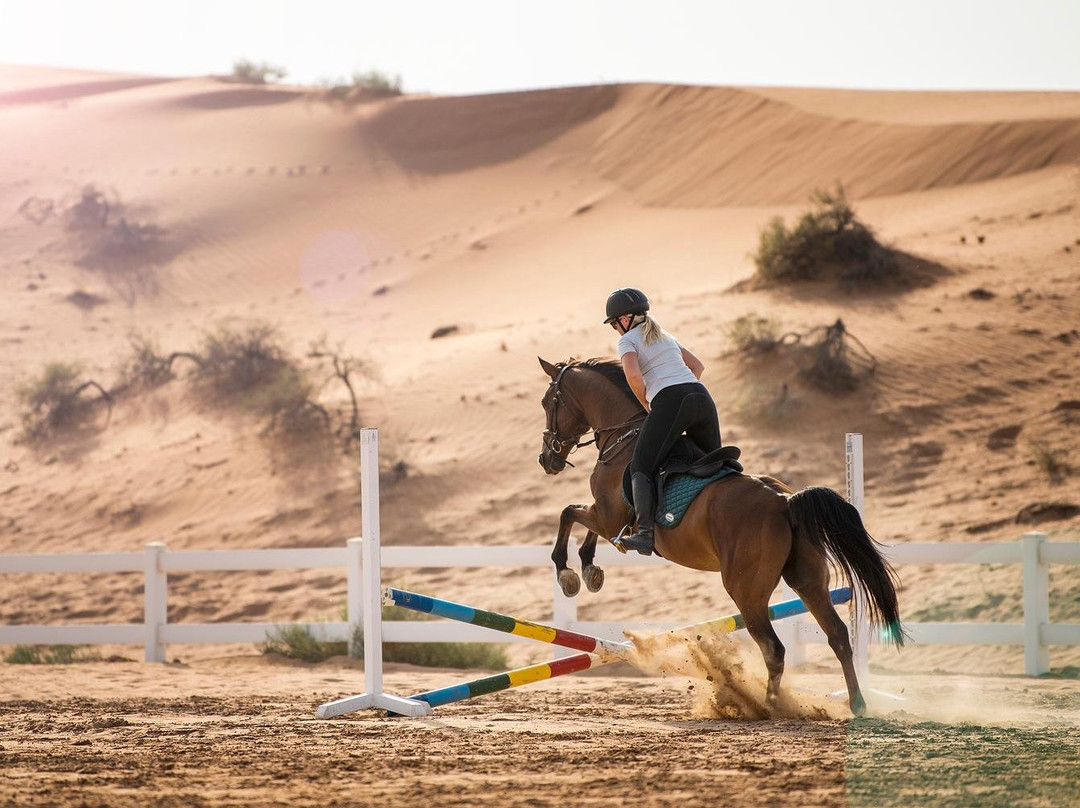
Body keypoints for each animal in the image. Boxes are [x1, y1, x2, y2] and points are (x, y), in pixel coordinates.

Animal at [536, 356, 902, 715]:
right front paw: (591, 571)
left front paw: (571, 574)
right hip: (807, 579)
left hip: (746, 591)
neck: (622, 438)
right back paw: (857, 703)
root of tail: (784, 502)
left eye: (547, 402)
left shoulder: (607, 515)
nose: (547, 459)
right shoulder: (607, 518)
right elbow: (582, 525)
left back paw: (769, 707)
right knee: (837, 635)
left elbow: (569, 514)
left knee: (774, 648)